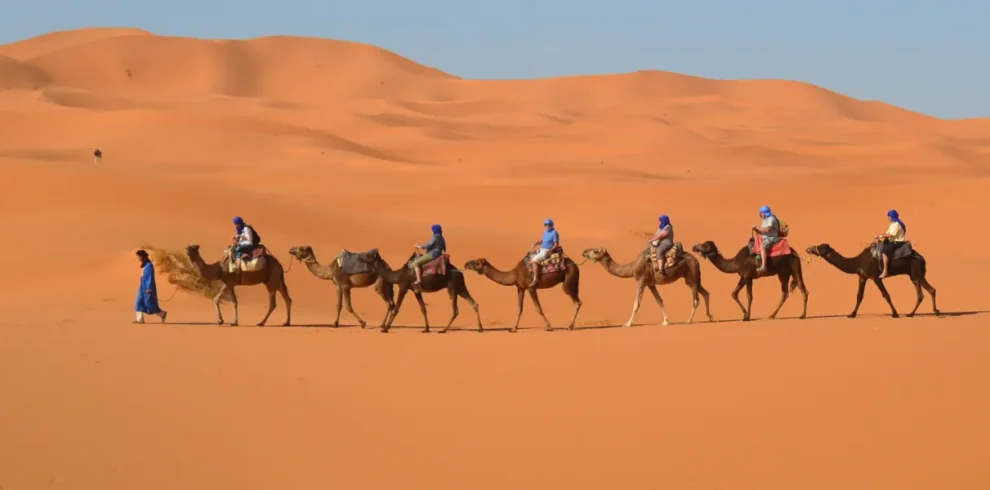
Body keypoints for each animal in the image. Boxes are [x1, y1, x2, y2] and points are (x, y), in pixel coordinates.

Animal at [356, 249, 484, 334]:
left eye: (368, 255)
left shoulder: (403, 286)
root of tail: (460, 272)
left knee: (455, 310)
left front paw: (385, 328)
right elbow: (423, 308)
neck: (397, 275)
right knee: (474, 303)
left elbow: (396, 308)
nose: (359, 257)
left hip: (452, 287)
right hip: (460, 287)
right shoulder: (416, 290)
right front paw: (426, 329)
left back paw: (443, 330)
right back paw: (480, 328)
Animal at [580, 244, 712, 328]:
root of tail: (696, 260)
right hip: (694, 278)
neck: (632, 267)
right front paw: (665, 321)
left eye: (595, 251)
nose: (584, 252)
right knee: (706, 293)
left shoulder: (641, 281)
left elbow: (636, 303)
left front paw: (628, 324)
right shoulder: (650, 284)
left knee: (696, 299)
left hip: (692, 276)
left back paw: (688, 321)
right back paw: (710, 317)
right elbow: (659, 301)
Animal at [808, 244, 936, 318]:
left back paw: (934, 311)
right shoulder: (862, 276)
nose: (808, 248)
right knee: (923, 292)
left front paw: (895, 313)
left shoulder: (875, 276)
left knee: (929, 290)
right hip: (913, 275)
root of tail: (923, 258)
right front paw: (852, 314)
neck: (858, 261)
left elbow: (885, 294)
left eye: (819, 247)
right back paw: (912, 313)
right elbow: (859, 296)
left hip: (917, 271)